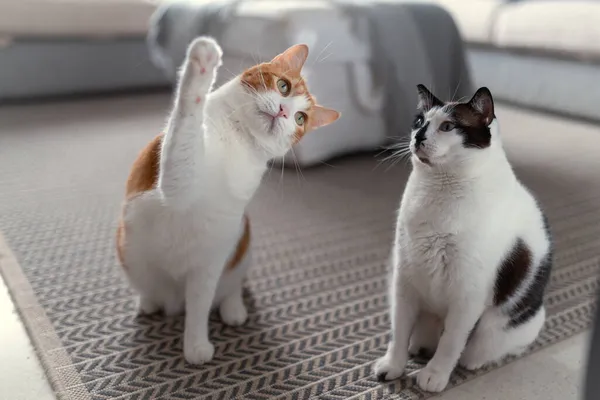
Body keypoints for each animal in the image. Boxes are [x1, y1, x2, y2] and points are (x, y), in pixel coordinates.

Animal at [115, 36, 340, 364]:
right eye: (283, 86)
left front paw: (195, 346)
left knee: (226, 291)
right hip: (131, 255)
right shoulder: (176, 184)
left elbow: (199, 309)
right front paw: (201, 68)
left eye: (301, 119)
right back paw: (148, 303)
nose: (284, 112)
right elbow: (188, 122)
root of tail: (173, 300)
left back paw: (234, 310)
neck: (238, 138)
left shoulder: (210, 258)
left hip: (240, 246)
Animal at [376, 85, 552, 394]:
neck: (440, 190)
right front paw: (393, 367)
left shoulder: (467, 293)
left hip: (506, 324)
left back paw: (474, 360)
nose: (418, 137)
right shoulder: (404, 280)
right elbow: (399, 331)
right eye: (419, 122)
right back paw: (419, 347)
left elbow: (450, 342)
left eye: (447, 126)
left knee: (484, 346)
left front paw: (433, 376)